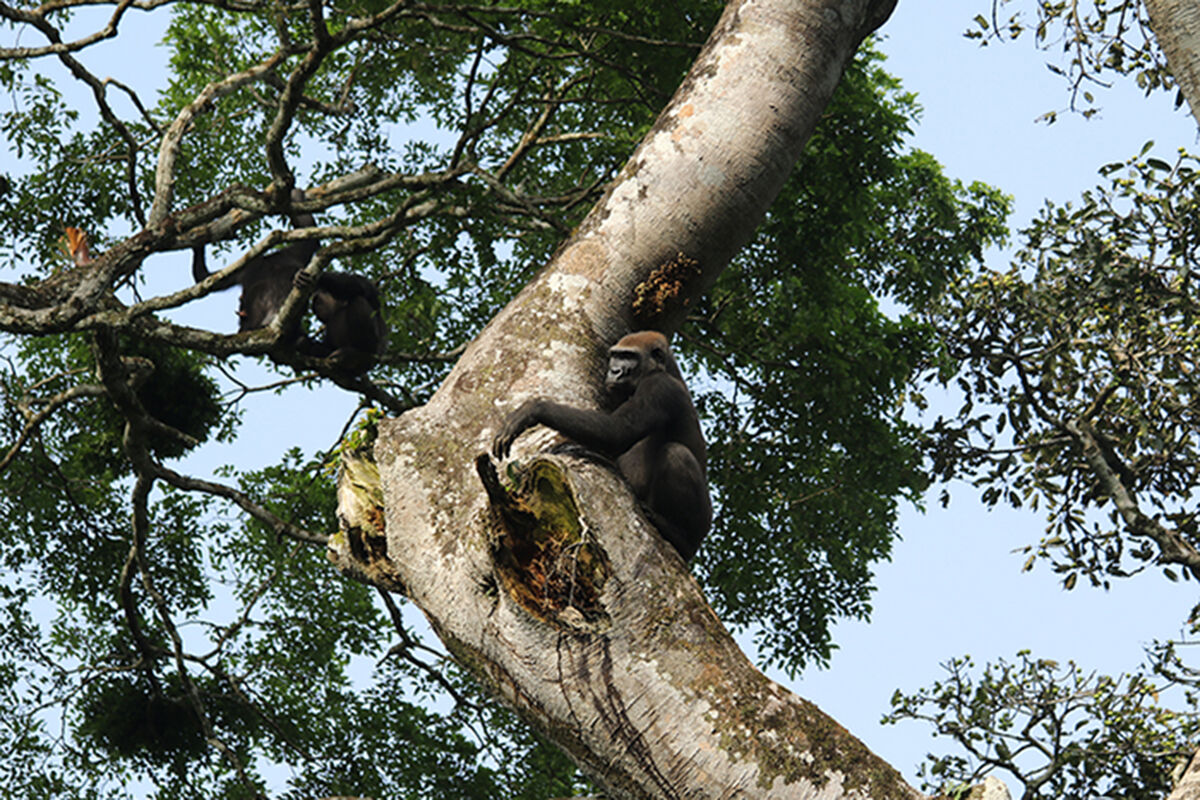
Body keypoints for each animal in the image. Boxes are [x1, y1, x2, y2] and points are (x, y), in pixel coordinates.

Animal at [494, 328, 710, 561]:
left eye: (629, 356)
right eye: (615, 356)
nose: (614, 371)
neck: (666, 369)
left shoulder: (659, 386)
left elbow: (616, 431)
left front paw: (534, 409)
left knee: (676, 454)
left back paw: (679, 535)